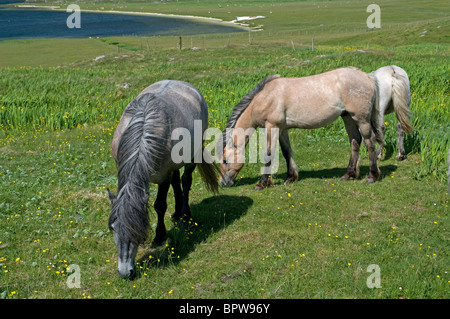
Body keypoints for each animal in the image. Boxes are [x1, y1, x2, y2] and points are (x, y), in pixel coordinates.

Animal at [106, 80, 217, 280]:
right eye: (113, 228)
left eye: (137, 231)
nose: (125, 272)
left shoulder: (163, 176)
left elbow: (159, 205)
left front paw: (159, 236)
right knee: (177, 181)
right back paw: (177, 212)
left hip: (192, 155)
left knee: (185, 181)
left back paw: (185, 215)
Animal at [220, 67, 382, 190]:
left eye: (225, 160)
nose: (223, 183)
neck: (264, 98)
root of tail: (367, 77)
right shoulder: (282, 129)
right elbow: (286, 152)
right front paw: (290, 177)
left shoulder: (272, 127)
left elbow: (268, 154)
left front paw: (262, 183)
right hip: (347, 116)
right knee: (355, 141)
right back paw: (348, 175)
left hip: (361, 119)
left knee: (370, 142)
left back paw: (372, 176)